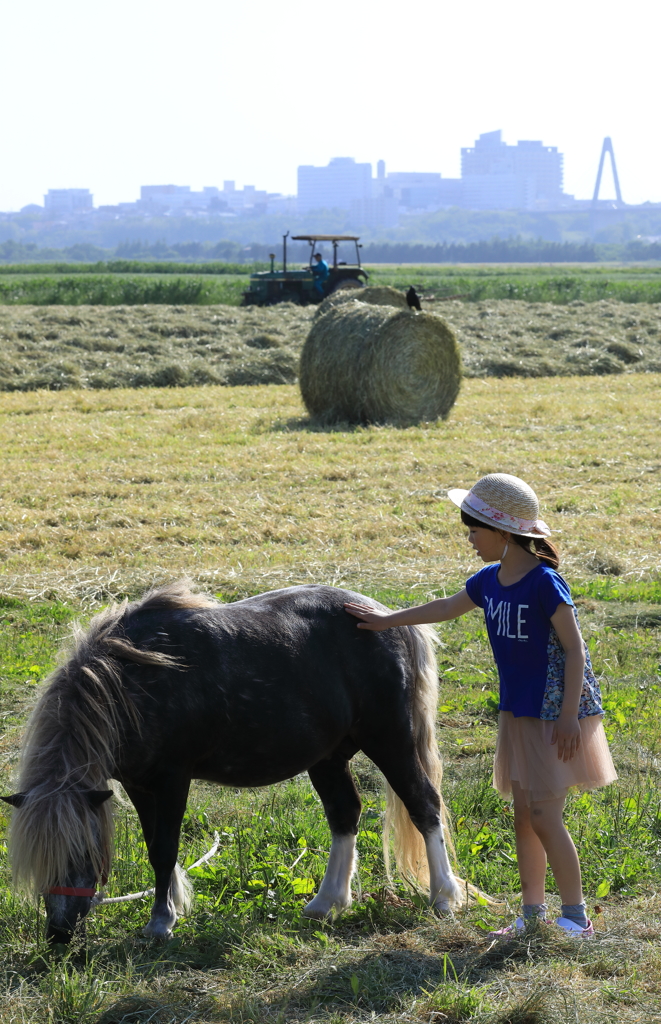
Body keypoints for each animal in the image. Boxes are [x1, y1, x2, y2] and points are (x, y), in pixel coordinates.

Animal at [2, 585, 464, 942]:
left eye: (80, 852)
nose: (59, 935)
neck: (131, 682)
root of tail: (387, 618)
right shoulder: (138, 783)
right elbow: (154, 847)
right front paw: (170, 906)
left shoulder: (172, 778)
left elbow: (165, 850)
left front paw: (162, 922)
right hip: (328, 757)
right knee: (344, 815)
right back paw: (326, 902)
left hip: (390, 741)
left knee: (424, 805)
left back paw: (444, 897)